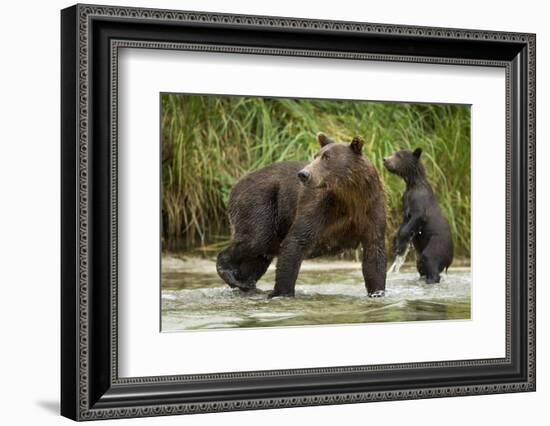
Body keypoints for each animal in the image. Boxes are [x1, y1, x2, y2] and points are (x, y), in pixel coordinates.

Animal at [217, 132, 388, 296]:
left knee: (259, 257)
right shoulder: (320, 207)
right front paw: (282, 292)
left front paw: (377, 292)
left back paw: (246, 283)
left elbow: (374, 254)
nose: (304, 174)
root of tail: (236, 184)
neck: (350, 196)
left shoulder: (371, 209)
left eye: (327, 157)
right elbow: (296, 240)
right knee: (256, 239)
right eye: (316, 156)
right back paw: (231, 273)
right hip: (261, 202)